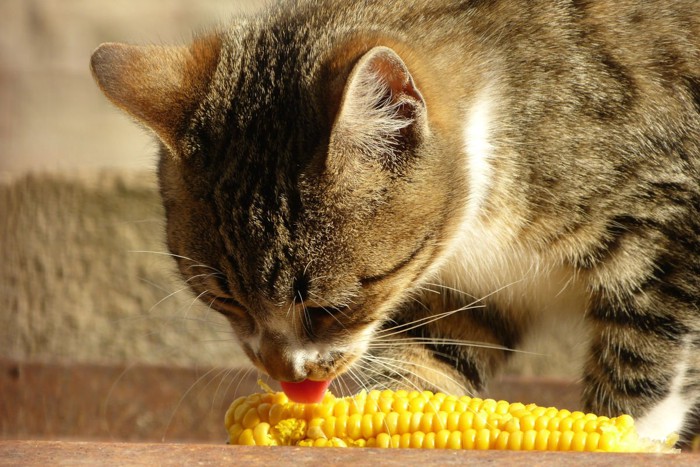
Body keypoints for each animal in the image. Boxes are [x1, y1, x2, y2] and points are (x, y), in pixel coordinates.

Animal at [90, 0, 696, 444]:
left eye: (330, 308)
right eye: (226, 302)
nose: (290, 376)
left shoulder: (667, 220)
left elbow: (643, 363)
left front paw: (628, 436)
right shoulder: (467, 294)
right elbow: (428, 361)